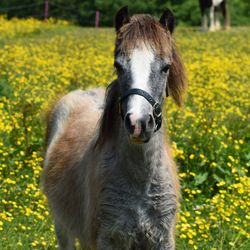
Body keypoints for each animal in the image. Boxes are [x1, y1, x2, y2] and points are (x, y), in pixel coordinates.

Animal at [43, 5, 187, 250]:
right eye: (118, 65)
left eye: (165, 67)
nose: (139, 123)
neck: (141, 184)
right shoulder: (108, 240)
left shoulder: (162, 239)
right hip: (62, 226)